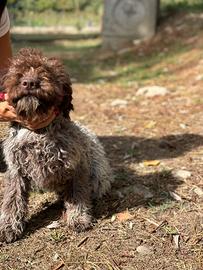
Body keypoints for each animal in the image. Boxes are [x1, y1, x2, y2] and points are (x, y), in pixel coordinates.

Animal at [0, 48, 113, 243]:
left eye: (47, 72)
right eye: (19, 72)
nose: (30, 83)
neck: (38, 133)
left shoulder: (76, 168)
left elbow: (77, 195)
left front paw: (78, 217)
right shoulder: (16, 171)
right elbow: (12, 200)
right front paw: (9, 226)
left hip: (98, 176)